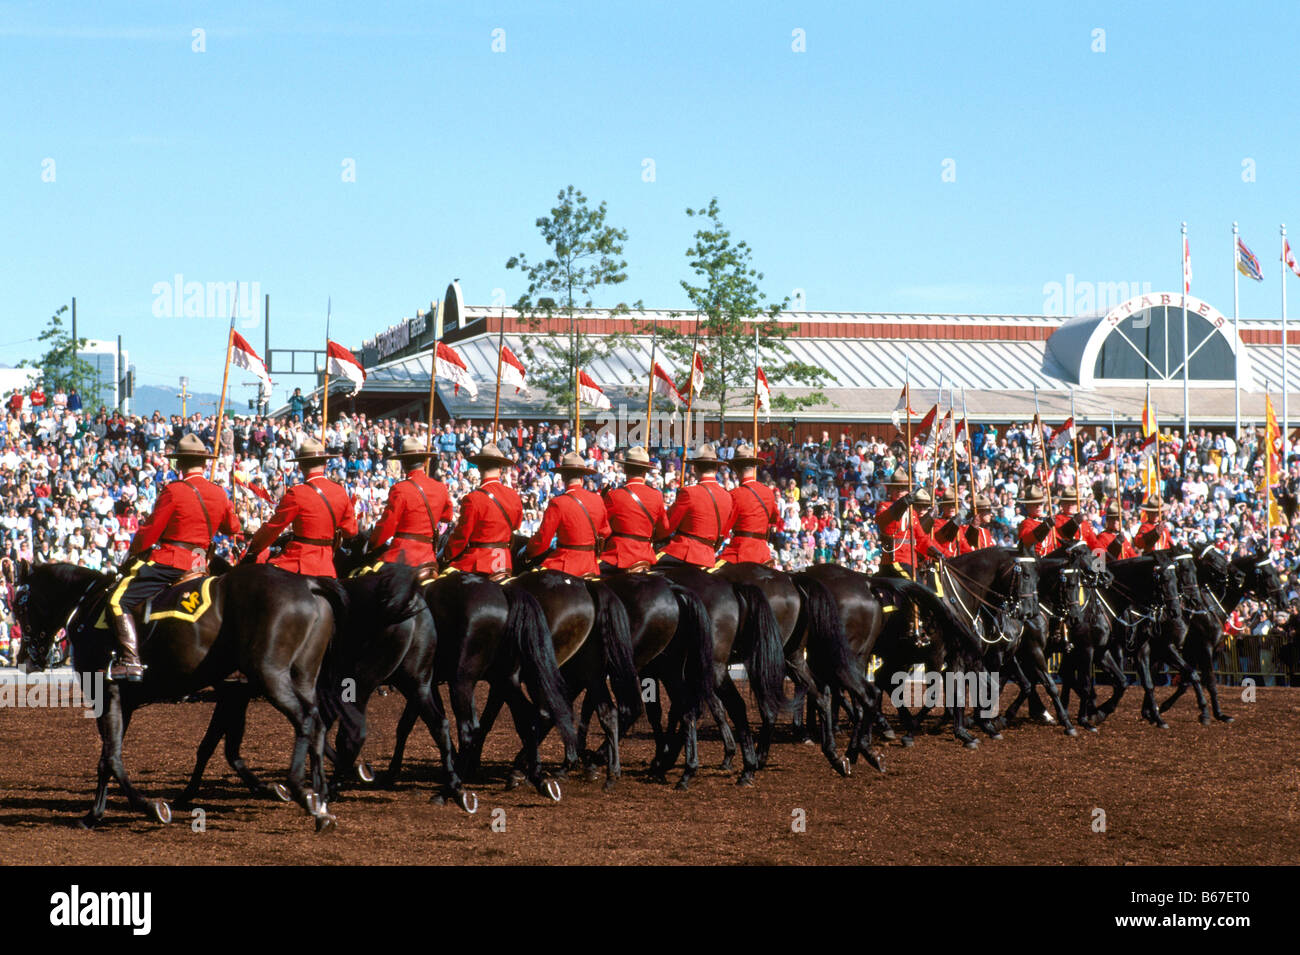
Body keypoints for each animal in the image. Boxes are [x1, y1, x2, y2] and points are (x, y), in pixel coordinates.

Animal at [10, 561, 345, 831]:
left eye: (20, 606)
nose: (26, 658)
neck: (88, 608)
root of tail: (306, 584)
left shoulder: (106, 696)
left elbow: (112, 759)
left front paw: (148, 807)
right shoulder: (126, 701)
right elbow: (110, 758)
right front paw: (96, 814)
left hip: (269, 675)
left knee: (305, 719)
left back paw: (302, 790)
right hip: (301, 677)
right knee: (317, 723)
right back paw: (321, 801)